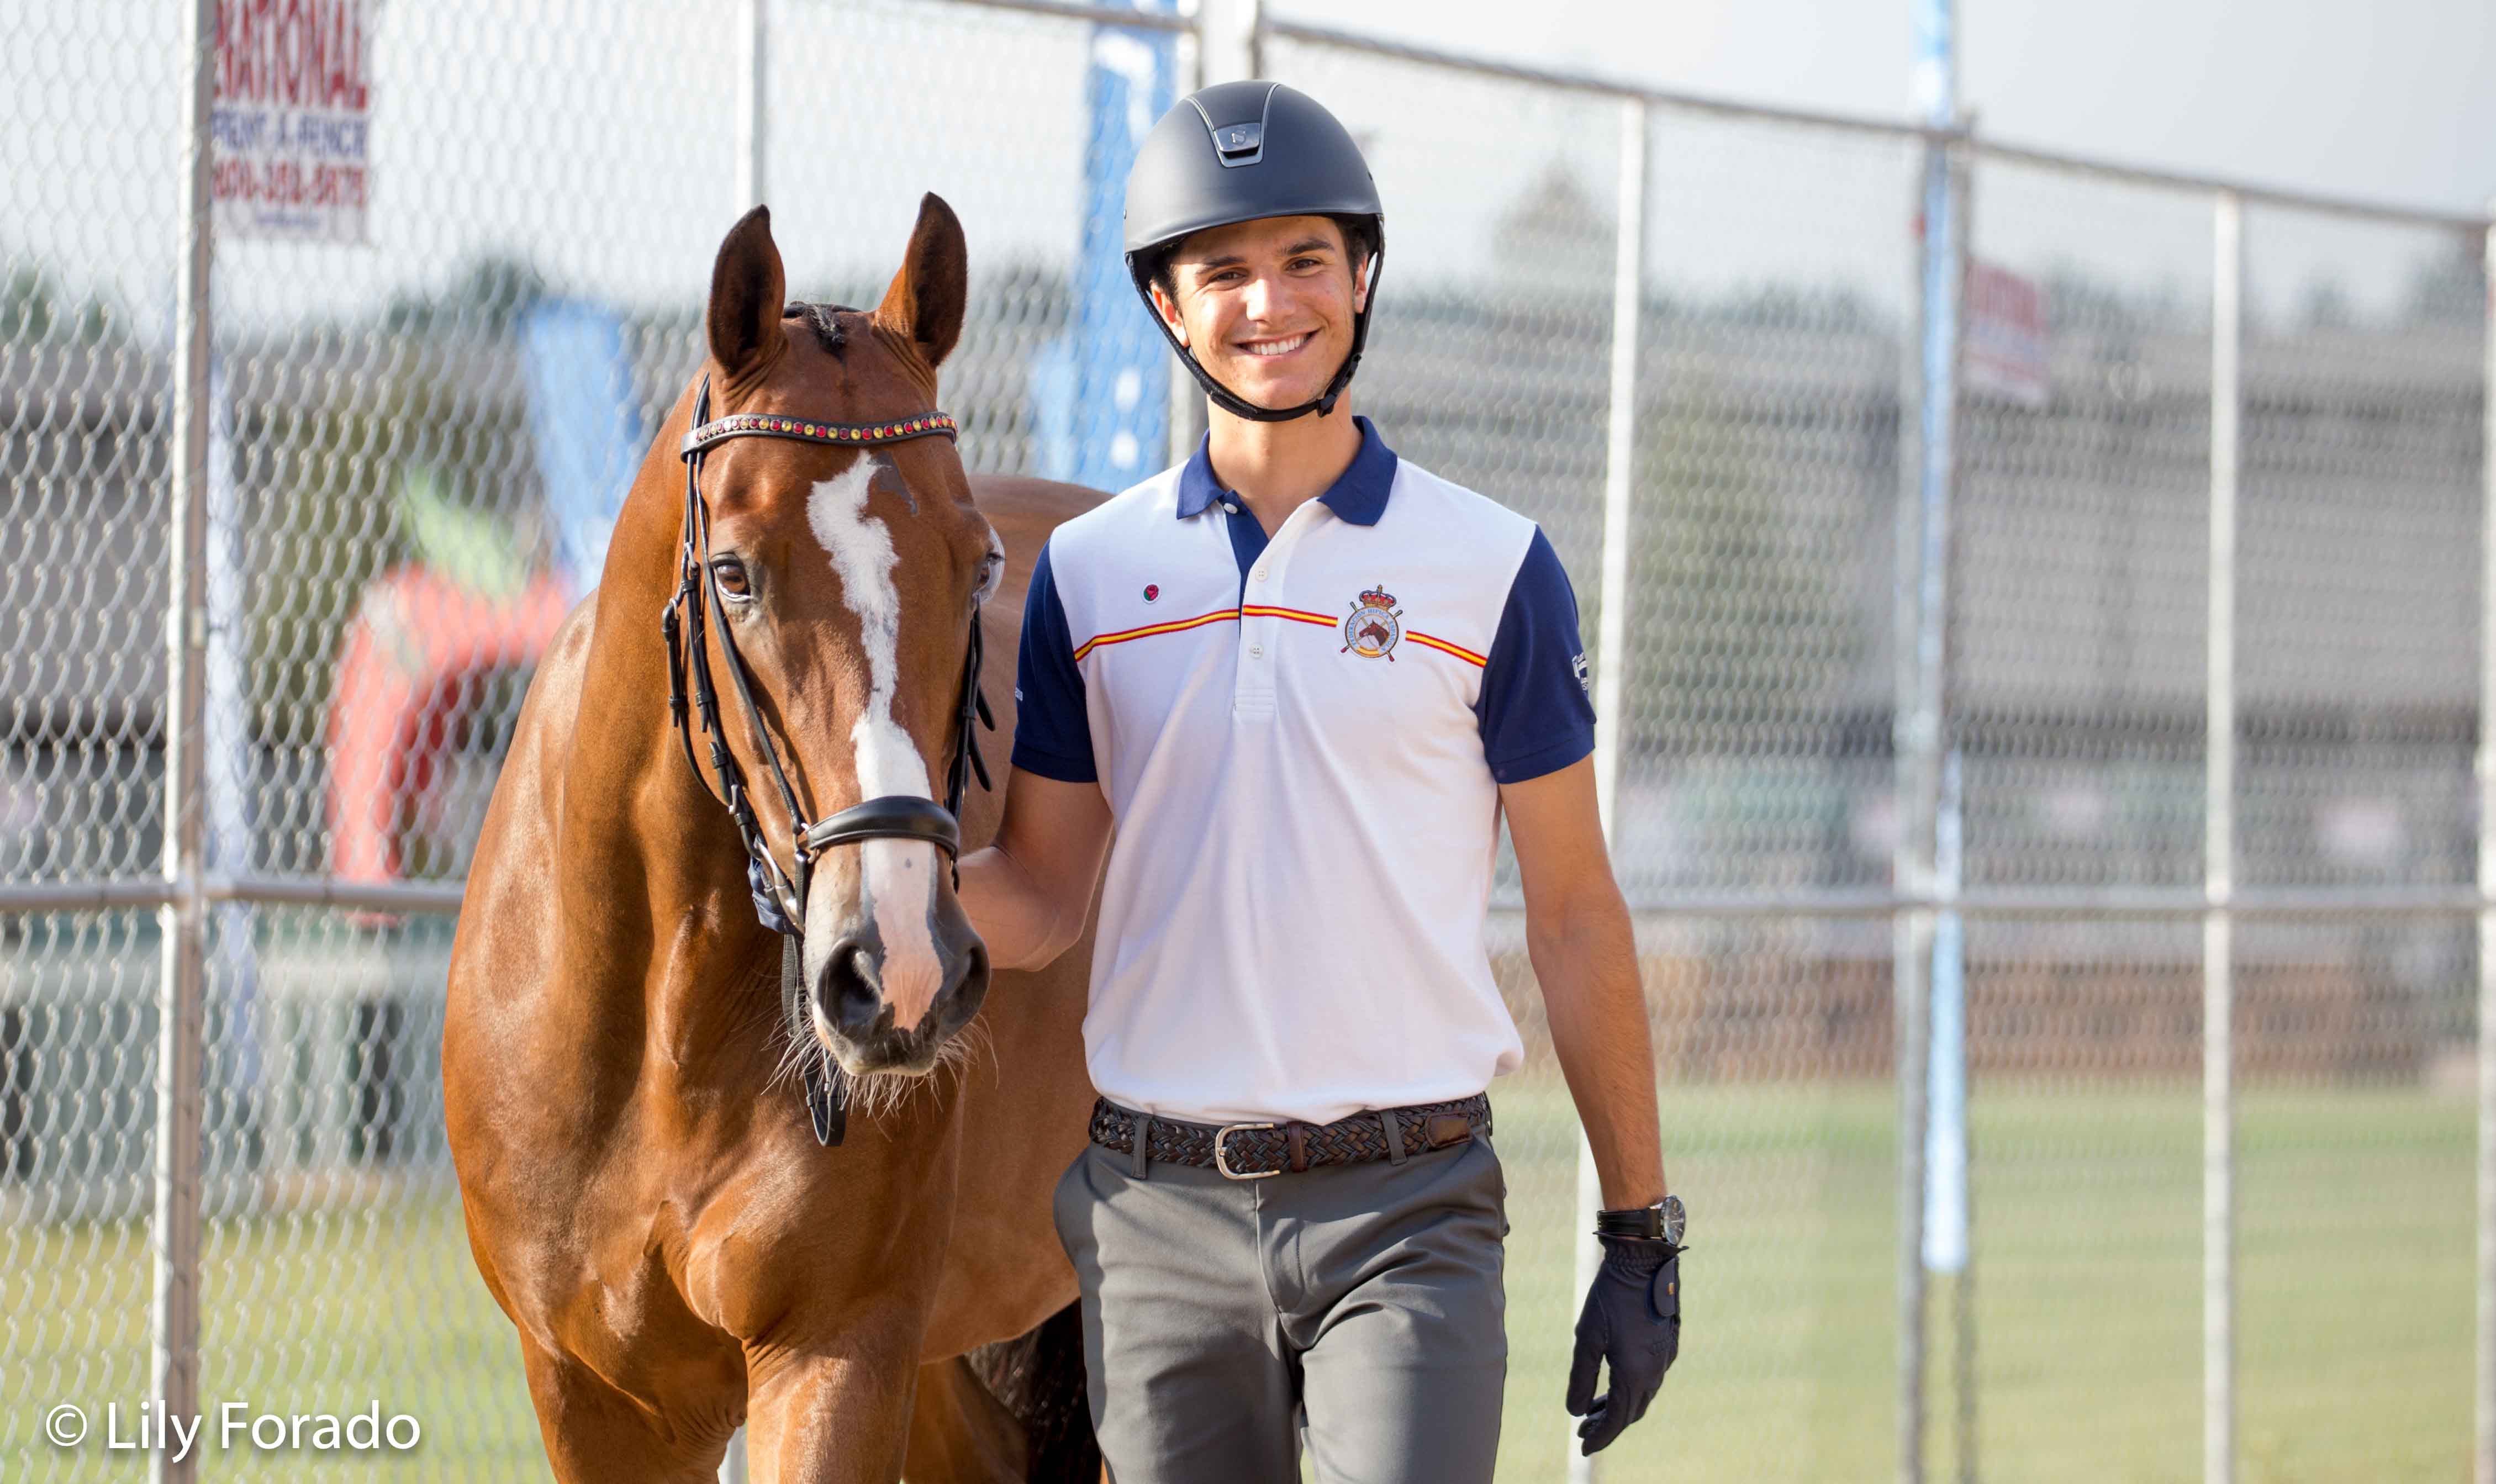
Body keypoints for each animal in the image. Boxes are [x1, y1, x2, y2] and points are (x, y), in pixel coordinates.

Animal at [446, 200, 1103, 1484]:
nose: (899, 967)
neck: (658, 1019)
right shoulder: (594, 1395)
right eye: (734, 572)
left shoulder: (834, 1349)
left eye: (981, 566)